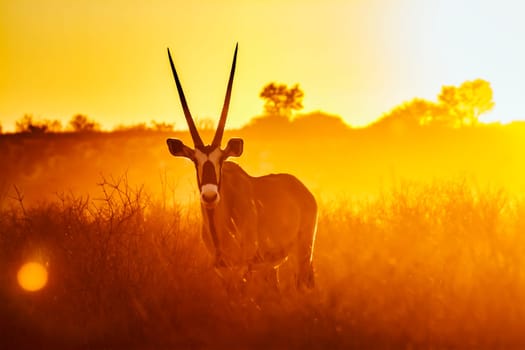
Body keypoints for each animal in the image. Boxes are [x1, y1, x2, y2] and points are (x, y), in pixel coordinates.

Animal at [166, 43, 318, 290]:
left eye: (221, 160)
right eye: (195, 160)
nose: (209, 196)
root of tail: (301, 189)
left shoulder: (242, 268)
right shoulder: (222, 271)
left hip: (302, 253)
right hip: (271, 267)